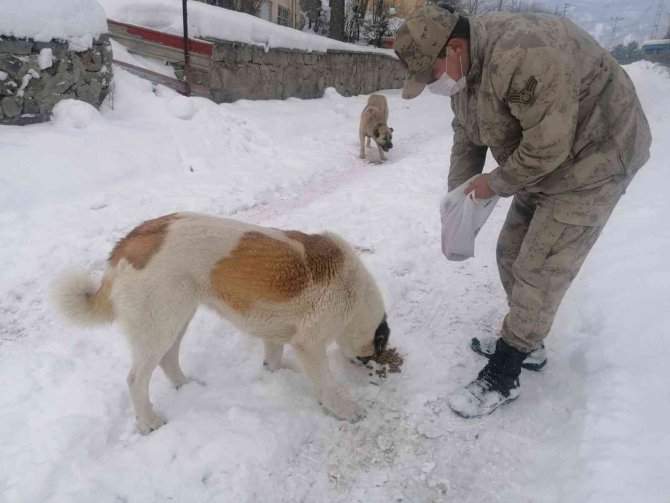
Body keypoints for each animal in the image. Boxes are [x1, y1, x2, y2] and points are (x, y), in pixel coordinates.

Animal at [52, 212, 392, 434]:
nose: (369, 367)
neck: (356, 296)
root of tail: (126, 243)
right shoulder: (310, 343)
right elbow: (326, 383)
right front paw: (345, 409)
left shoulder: (276, 335)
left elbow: (273, 361)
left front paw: (280, 373)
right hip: (160, 323)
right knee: (136, 379)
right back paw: (148, 422)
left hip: (178, 317)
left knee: (167, 359)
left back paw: (185, 386)